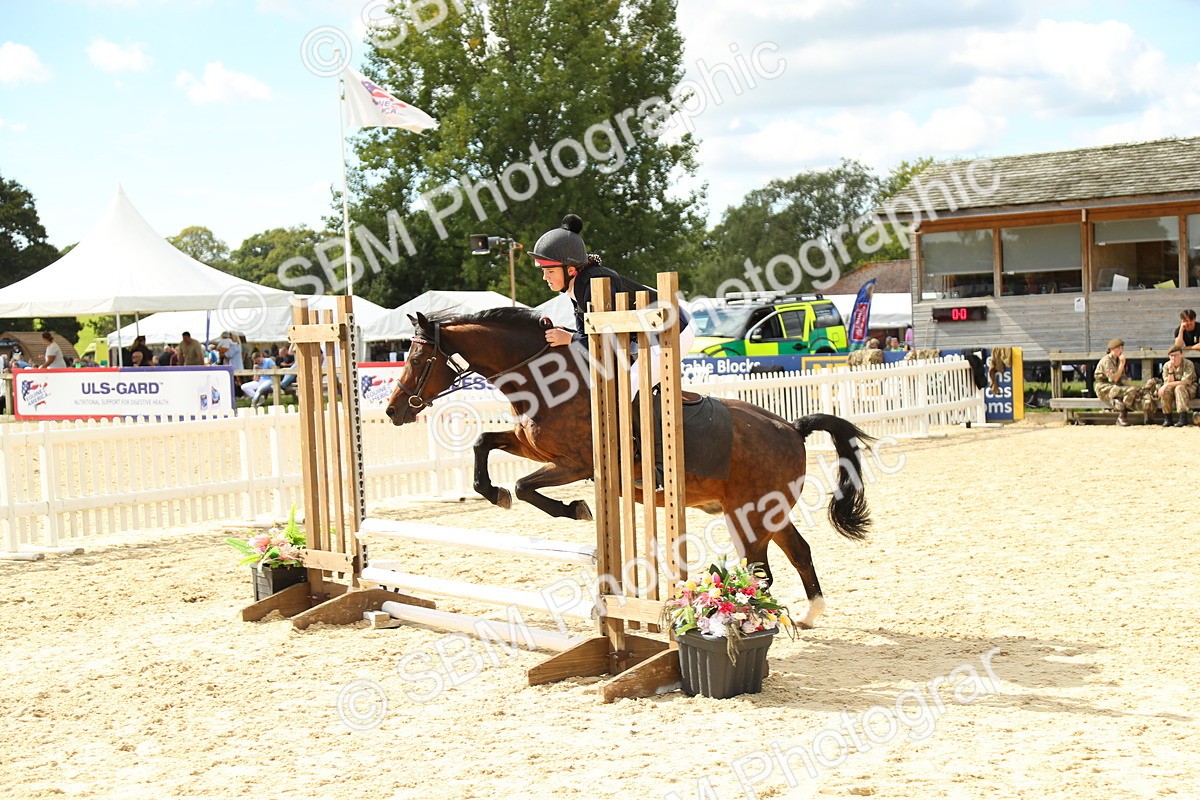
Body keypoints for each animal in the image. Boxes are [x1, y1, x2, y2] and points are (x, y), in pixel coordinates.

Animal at [385, 307, 872, 627]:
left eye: (417, 358)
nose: (393, 411)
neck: (544, 380)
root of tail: (792, 426)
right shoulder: (531, 446)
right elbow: (483, 446)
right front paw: (494, 493)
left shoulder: (575, 464)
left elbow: (526, 486)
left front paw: (575, 509)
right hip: (767, 510)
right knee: (798, 551)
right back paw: (809, 614)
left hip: (748, 513)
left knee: (760, 570)